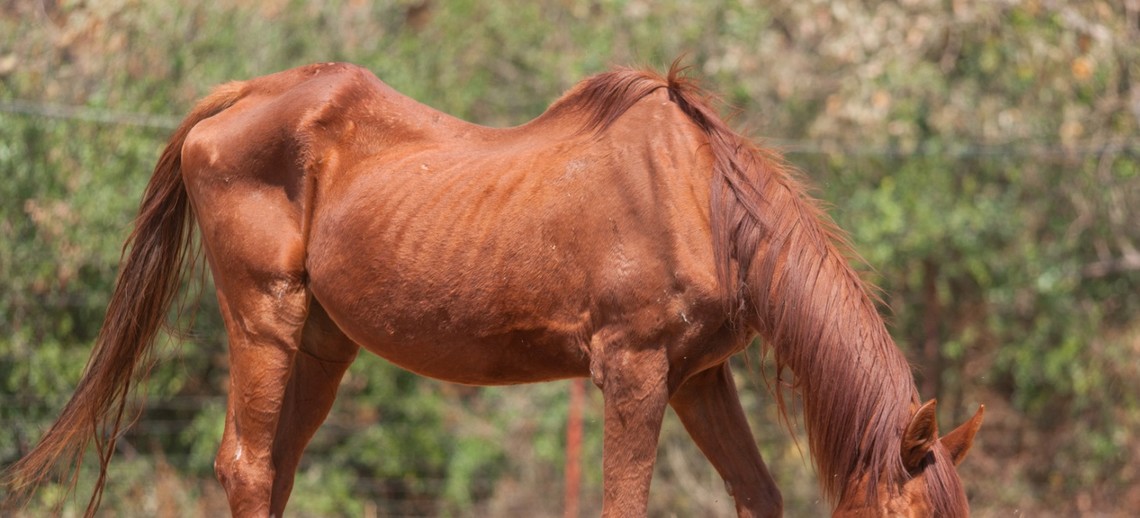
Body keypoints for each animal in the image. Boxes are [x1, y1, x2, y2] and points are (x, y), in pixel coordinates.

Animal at [0, 59, 984, 513]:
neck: (702, 200)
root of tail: (245, 96)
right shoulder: (634, 372)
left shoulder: (701, 378)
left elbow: (759, 494)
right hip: (263, 318)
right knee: (245, 464)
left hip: (322, 344)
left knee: (274, 466)